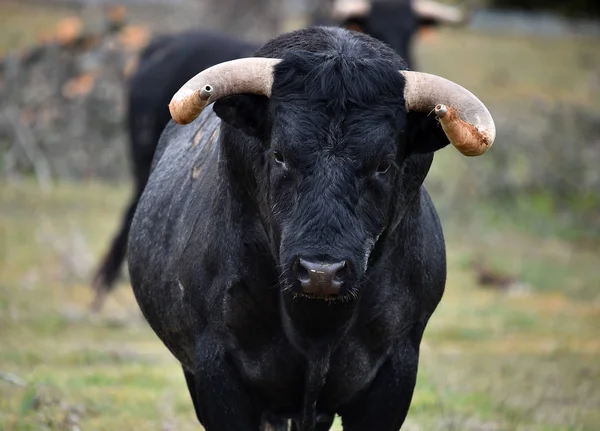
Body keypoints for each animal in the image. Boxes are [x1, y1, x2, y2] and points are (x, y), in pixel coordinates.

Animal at [126, 26, 492, 431]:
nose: (321, 272)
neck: (316, 323)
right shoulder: (216, 371)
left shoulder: (394, 374)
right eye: (279, 155)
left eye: (383, 164)